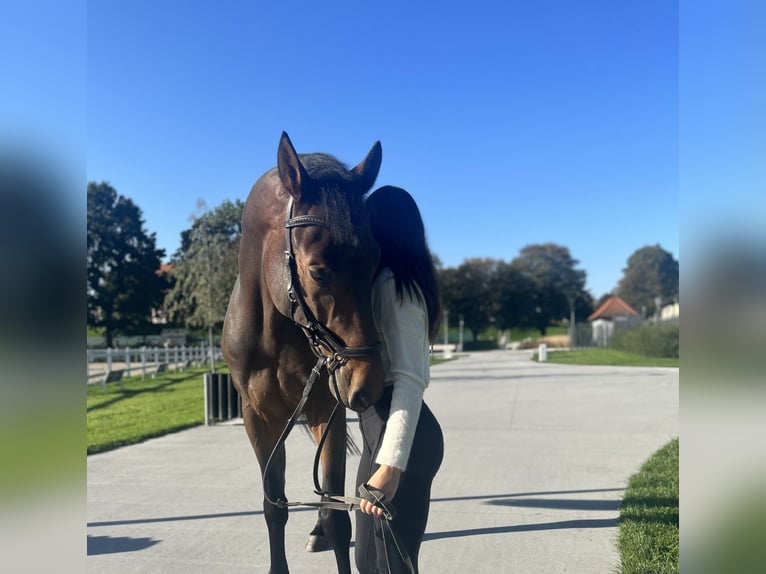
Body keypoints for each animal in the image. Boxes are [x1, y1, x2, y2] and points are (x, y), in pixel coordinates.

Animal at [222, 133, 390, 572]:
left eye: (375, 262)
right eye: (318, 271)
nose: (369, 382)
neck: (274, 336)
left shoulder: (326, 410)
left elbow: (336, 515)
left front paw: (326, 529)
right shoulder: (259, 419)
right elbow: (274, 506)